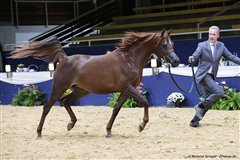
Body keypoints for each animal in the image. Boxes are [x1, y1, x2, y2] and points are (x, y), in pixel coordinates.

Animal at [10, 29, 180, 138]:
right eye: (164, 44)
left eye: (172, 43)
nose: (176, 61)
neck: (128, 60)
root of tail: (64, 58)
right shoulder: (128, 87)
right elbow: (144, 101)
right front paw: (141, 125)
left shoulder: (125, 91)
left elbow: (116, 109)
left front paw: (108, 131)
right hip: (59, 87)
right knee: (47, 107)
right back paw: (39, 133)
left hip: (81, 91)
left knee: (65, 101)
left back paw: (71, 124)